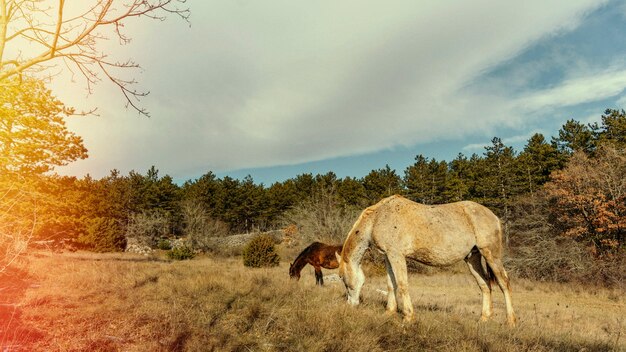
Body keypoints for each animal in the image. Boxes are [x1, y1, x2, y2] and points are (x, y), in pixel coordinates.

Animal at [336, 194, 516, 326]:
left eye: (343, 279)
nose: (351, 305)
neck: (378, 217)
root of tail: (494, 216)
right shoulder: (388, 256)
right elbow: (391, 284)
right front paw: (389, 312)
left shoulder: (396, 255)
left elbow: (402, 285)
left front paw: (408, 317)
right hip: (473, 258)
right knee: (485, 284)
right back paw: (484, 318)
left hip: (491, 254)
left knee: (504, 283)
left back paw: (510, 321)